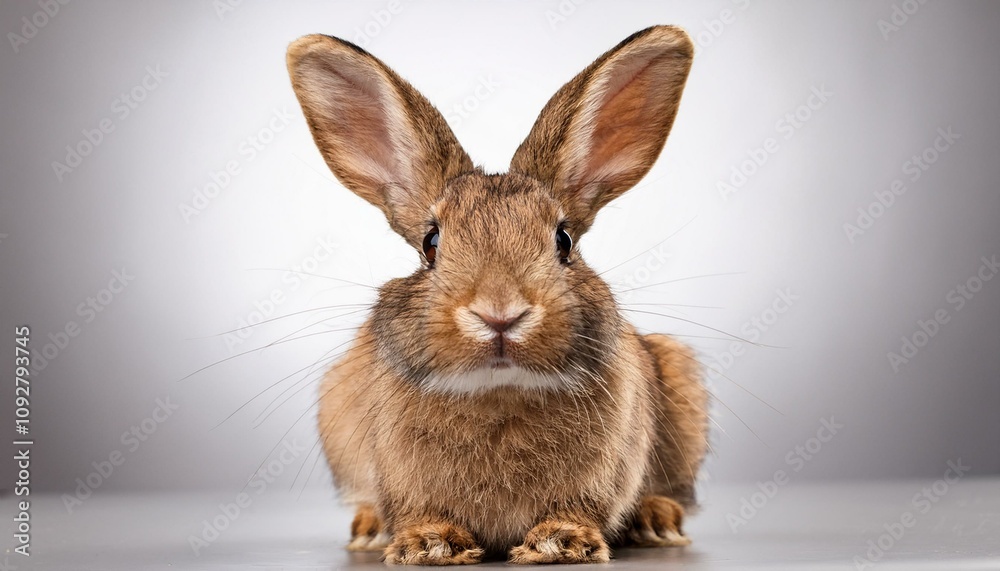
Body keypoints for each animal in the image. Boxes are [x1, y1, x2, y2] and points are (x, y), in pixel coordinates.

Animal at [286, 25, 708, 565]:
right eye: (431, 243)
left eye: (563, 241)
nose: (500, 313)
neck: (499, 390)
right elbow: (416, 508)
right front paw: (430, 544)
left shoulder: (606, 472)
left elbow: (583, 506)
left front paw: (561, 542)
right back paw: (368, 529)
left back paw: (658, 522)